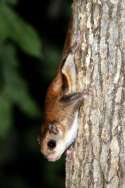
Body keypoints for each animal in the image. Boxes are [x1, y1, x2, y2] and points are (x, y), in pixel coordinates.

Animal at [38, 16, 90, 162]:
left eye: (51, 144)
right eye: (42, 152)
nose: (50, 159)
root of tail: (56, 74)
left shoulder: (67, 110)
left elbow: (77, 97)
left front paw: (86, 93)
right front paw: (70, 153)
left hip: (66, 66)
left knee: (68, 56)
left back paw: (76, 44)